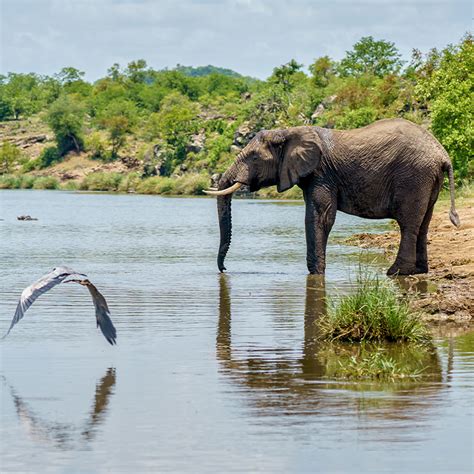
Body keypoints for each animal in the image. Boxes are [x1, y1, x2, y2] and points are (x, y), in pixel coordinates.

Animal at [206, 116, 462, 276]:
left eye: (254, 158)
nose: (224, 270)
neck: (290, 131)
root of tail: (443, 154)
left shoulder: (322, 174)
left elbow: (319, 216)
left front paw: (316, 274)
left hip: (413, 177)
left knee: (408, 223)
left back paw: (396, 272)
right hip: (428, 179)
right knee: (424, 222)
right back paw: (419, 271)